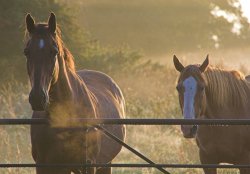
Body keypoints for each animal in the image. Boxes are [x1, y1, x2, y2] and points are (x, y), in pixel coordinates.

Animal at [24, 12, 126, 173]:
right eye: (26, 52)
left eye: (54, 51)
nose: (37, 98)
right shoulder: (44, 165)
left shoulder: (88, 164)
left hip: (105, 164)